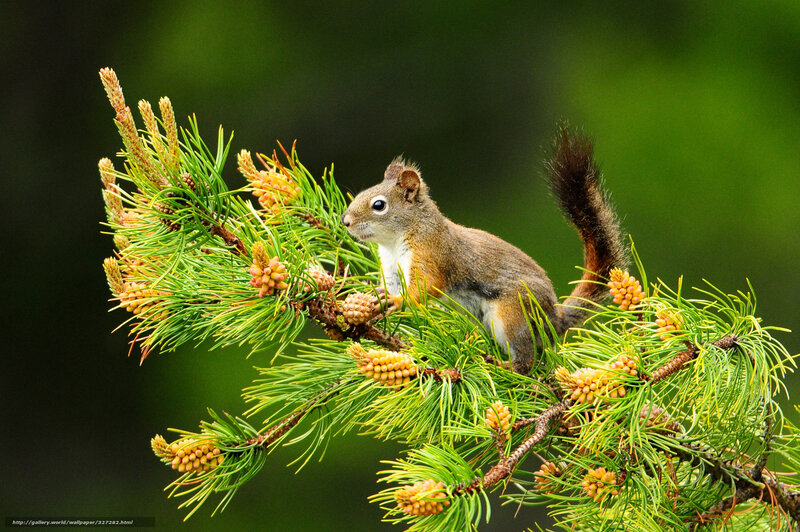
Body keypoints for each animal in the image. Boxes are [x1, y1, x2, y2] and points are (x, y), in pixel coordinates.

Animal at [341, 124, 626, 374]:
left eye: (379, 205)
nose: (345, 221)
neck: (394, 241)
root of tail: (555, 318)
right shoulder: (390, 268)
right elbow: (390, 286)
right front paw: (376, 297)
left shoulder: (432, 253)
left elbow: (426, 286)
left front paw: (398, 301)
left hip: (513, 313)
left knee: (527, 359)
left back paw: (506, 366)